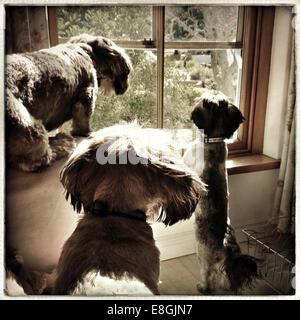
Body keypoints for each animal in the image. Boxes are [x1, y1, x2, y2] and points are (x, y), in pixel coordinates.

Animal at [5, 33, 132, 172]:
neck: (86, 50)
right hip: (28, 125)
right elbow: (82, 122)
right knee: (38, 160)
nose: (126, 87)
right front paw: (87, 133)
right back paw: (61, 143)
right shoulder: (86, 95)